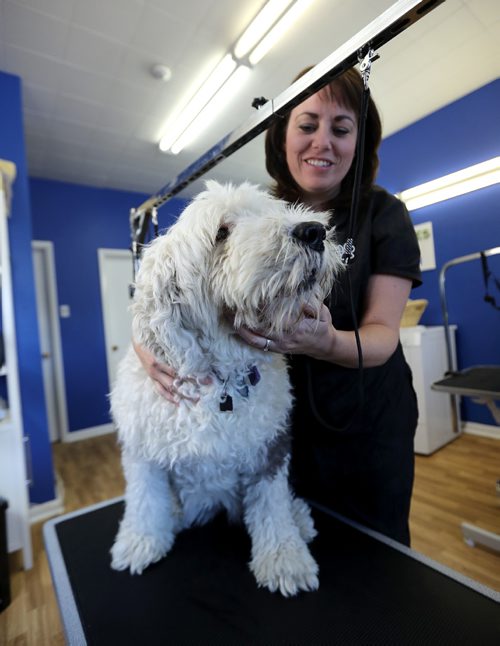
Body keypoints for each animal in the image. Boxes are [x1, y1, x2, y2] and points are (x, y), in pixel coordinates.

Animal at [111, 181, 342, 596]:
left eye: (272, 211)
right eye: (221, 232)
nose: (314, 232)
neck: (220, 383)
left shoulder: (268, 450)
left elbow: (272, 509)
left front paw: (284, 560)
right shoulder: (142, 452)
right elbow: (144, 501)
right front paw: (139, 543)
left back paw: (300, 520)